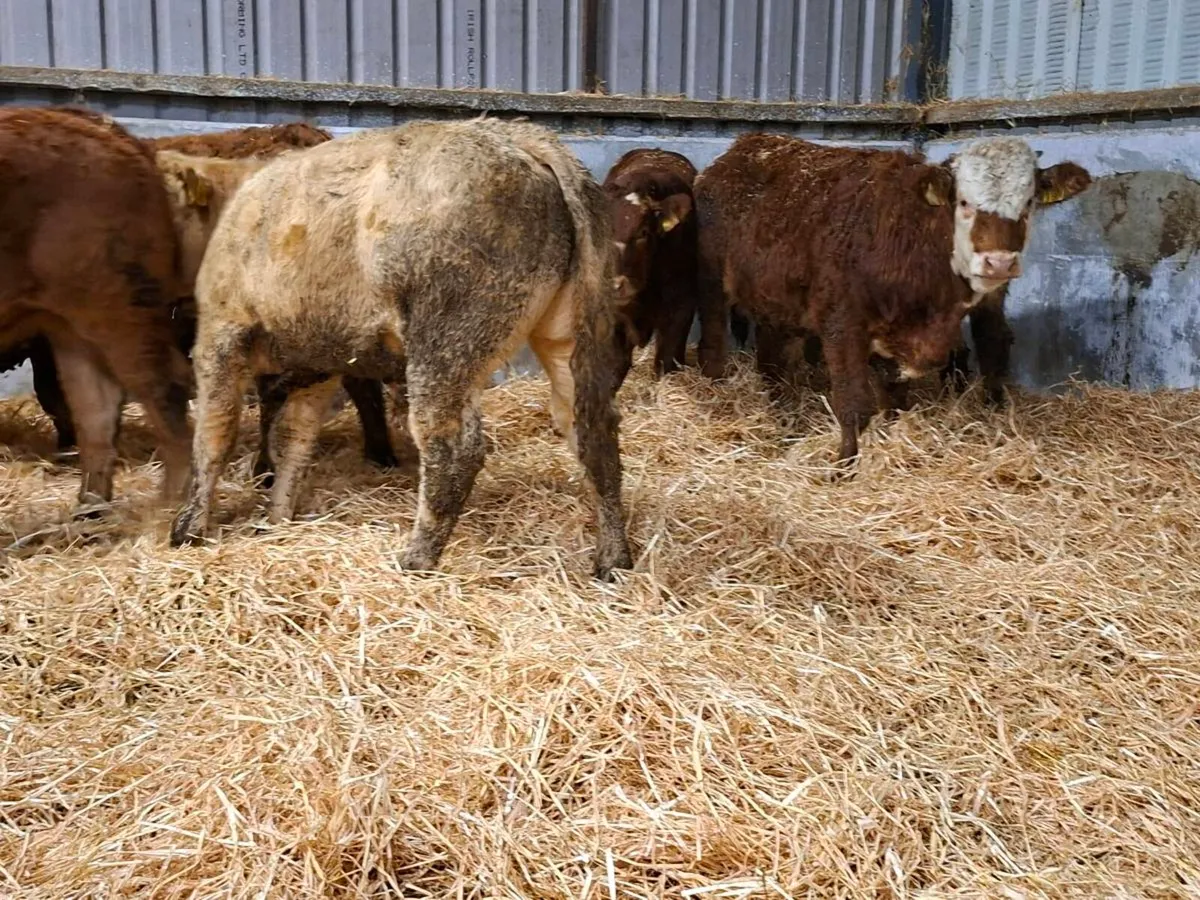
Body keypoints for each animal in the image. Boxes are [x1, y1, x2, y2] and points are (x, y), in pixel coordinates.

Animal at [0, 107, 192, 506]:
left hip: (118, 307)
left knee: (167, 387)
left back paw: (168, 508)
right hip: (68, 325)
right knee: (96, 407)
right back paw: (90, 509)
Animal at [166, 118, 633, 580]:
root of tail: (519, 139)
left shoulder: (221, 334)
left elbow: (214, 434)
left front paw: (189, 528)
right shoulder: (320, 363)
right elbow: (294, 439)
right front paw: (277, 517)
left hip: (445, 346)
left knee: (452, 447)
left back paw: (417, 558)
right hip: (569, 333)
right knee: (592, 429)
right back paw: (613, 560)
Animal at [693, 134, 1092, 472]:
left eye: (1028, 203)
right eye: (964, 203)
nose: (999, 262)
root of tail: (746, 146)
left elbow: (895, 401)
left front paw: (888, 444)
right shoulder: (842, 326)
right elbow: (854, 404)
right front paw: (844, 467)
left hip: (775, 302)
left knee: (772, 364)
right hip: (712, 286)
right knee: (714, 346)